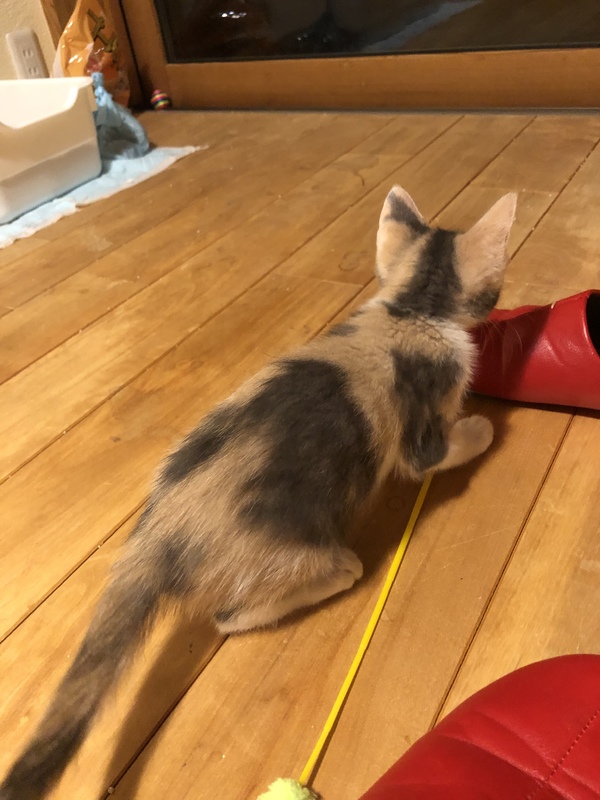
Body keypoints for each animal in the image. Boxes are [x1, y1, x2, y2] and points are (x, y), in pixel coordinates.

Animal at [0, 185, 516, 800]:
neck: (409, 310)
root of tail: (157, 534)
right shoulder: (422, 431)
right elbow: (433, 455)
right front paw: (482, 430)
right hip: (291, 553)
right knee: (243, 610)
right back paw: (330, 577)